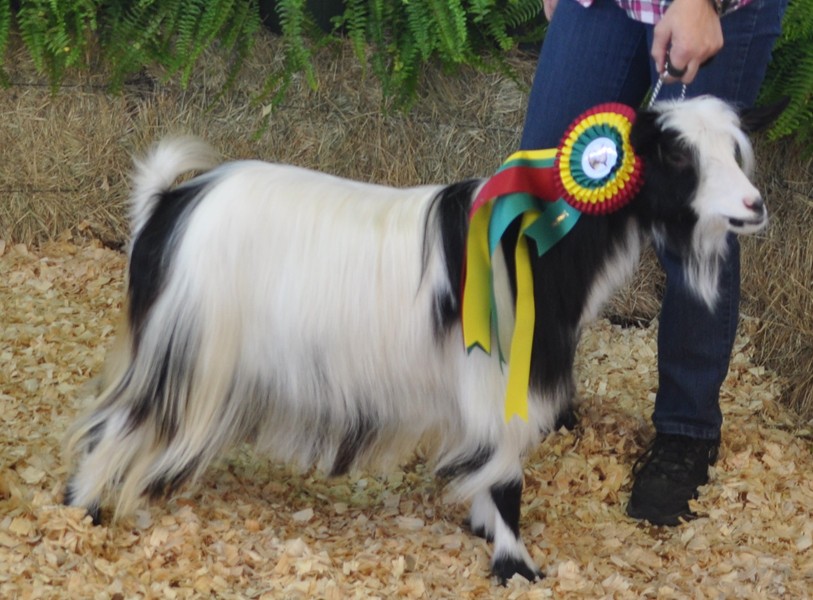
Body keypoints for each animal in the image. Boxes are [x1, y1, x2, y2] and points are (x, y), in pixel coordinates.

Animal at [64, 96, 782, 583]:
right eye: (676, 154)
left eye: (732, 149)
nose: (754, 206)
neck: (539, 248)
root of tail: (165, 206)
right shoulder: (501, 384)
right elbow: (505, 473)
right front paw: (516, 564)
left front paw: (485, 530)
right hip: (181, 351)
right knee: (114, 422)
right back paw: (83, 511)